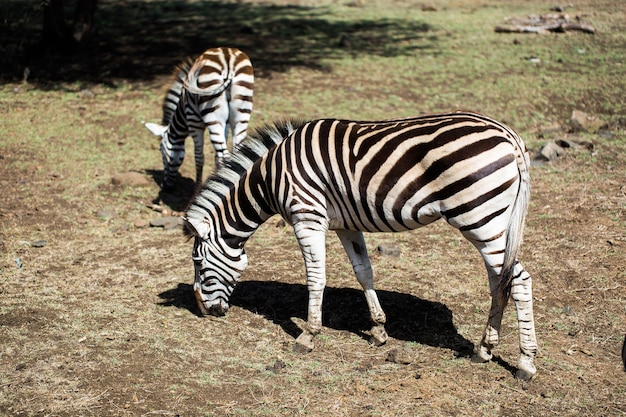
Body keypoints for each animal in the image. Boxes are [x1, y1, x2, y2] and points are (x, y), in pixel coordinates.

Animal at [145, 47, 252, 192]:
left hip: (212, 114)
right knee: (236, 150)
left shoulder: (194, 122)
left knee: (224, 156)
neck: (182, 108)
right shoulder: (226, 125)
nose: (166, 187)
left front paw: (198, 189)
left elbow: (199, 156)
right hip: (241, 113)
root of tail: (228, 59)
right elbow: (216, 155)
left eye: (161, 151)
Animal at [184, 112, 536, 378]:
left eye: (198, 263)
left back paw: (525, 364)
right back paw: (484, 350)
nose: (202, 310)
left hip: (481, 218)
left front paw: (308, 336)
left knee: (518, 281)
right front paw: (378, 330)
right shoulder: (347, 224)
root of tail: (509, 136)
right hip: (493, 223)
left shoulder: (307, 217)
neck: (270, 179)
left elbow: (316, 278)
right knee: (500, 281)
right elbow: (363, 271)